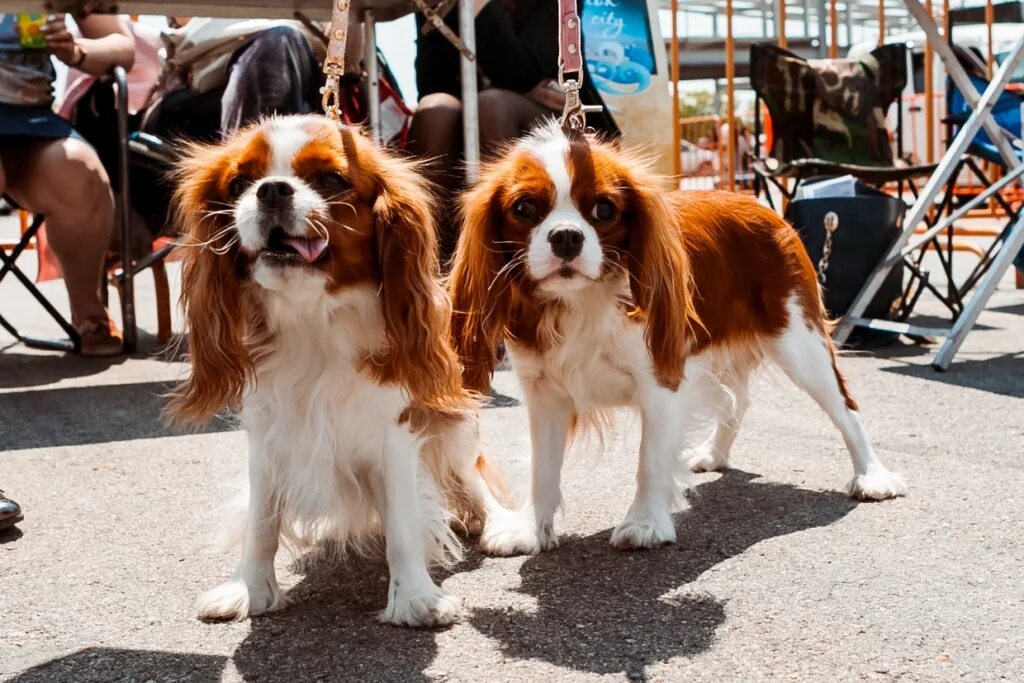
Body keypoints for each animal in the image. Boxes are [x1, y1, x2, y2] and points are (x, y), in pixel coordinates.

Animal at [168, 116, 512, 626]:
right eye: (239, 183)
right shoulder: (267, 436)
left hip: (451, 429)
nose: (271, 190)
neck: (313, 318)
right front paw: (249, 590)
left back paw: (504, 525)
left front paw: (415, 598)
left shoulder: (396, 432)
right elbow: (260, 524)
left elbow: (404, 526)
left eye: (330, 180)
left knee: (473, 478)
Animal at [448, 122, 905, 557]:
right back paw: (716, 453)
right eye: (525, 208)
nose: (565, 236)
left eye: (604, 209)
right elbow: (542, 468)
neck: (581, 301)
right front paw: (530, 530)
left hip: (799, 341)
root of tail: (761, 204)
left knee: (844, 407)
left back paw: (872, 475)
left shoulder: (660, 378)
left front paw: (645, 523)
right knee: (737, 400)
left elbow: (650, 459)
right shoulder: (544, 392)